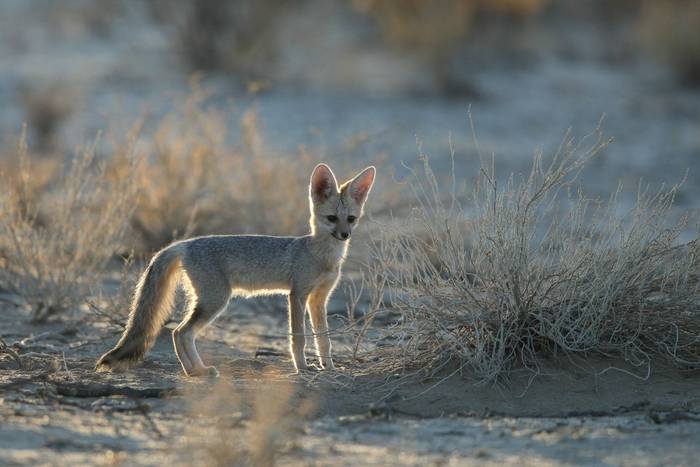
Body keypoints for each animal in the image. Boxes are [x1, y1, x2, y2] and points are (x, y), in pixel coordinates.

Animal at [96, 163, 375, 377]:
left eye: (351, 219)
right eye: (331, 218)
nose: (344, 235)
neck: (322, 255)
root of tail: (185, 243)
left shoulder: (319, 299)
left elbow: (324, 340)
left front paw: (329, 367)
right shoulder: (297, 295)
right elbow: (299, 337)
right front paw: (302, 368)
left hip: (208, 301)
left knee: (178, 333)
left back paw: (193, 370)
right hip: (216, 301)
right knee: (180, 332)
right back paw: (198, 371)